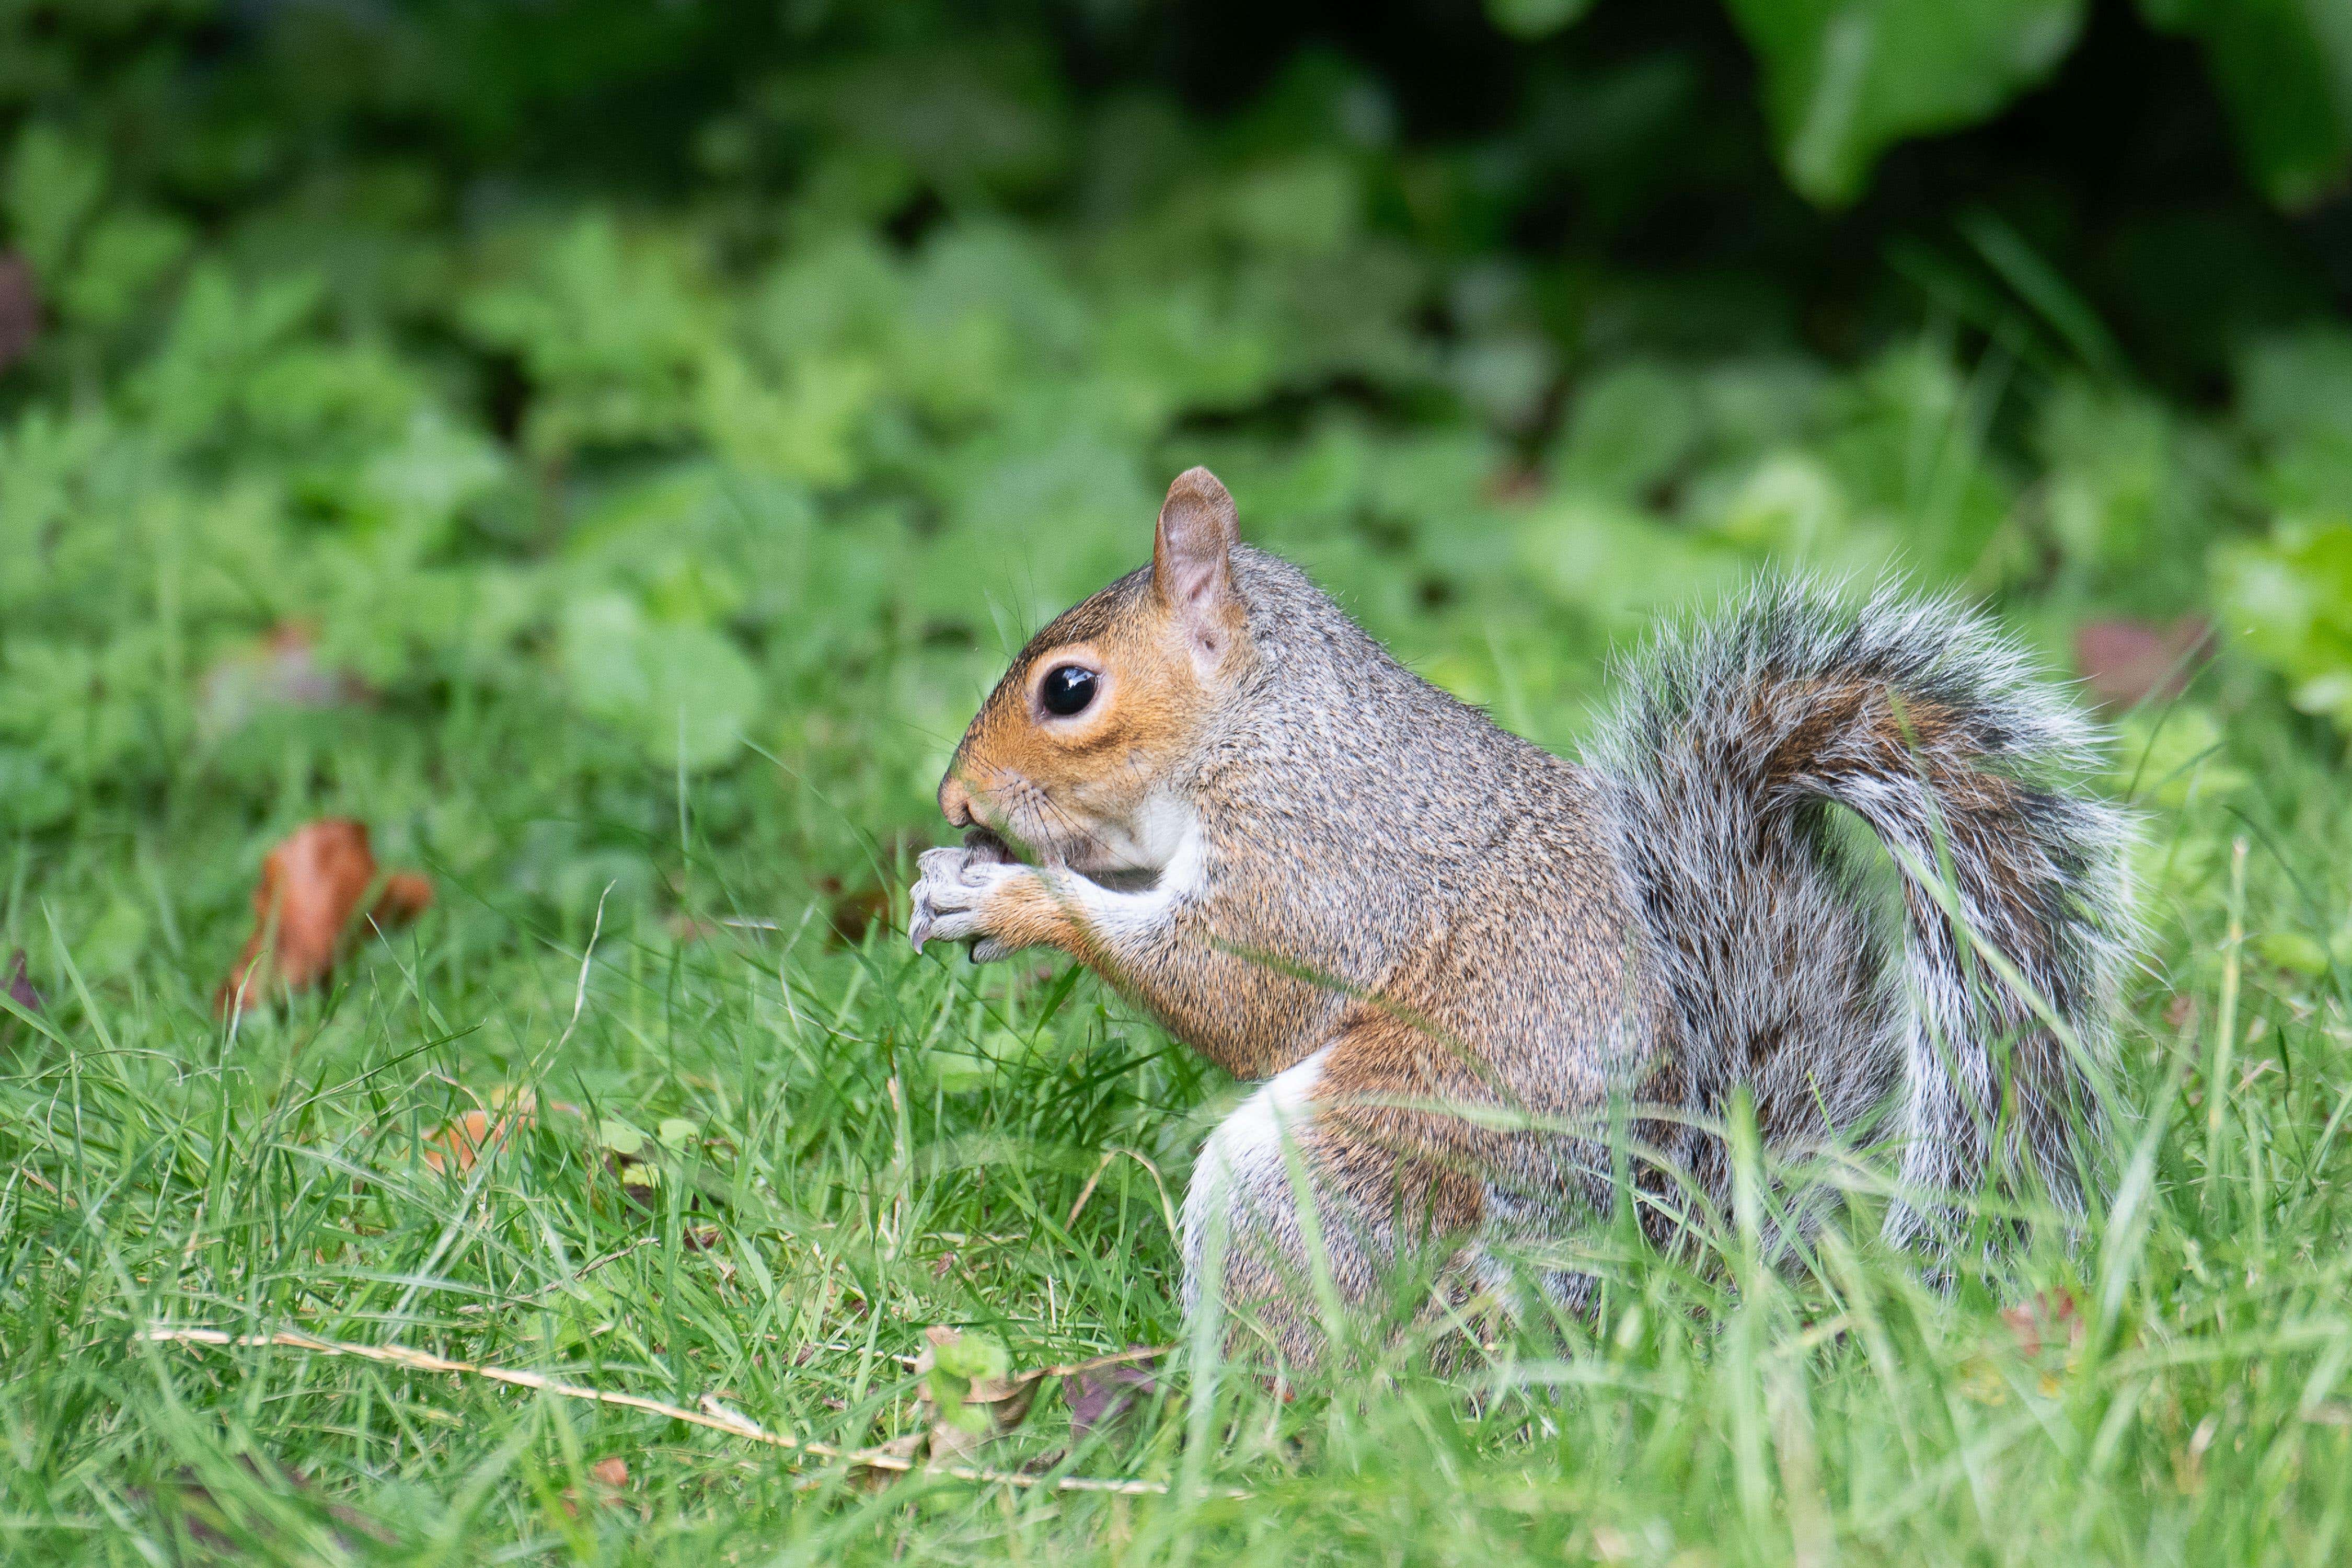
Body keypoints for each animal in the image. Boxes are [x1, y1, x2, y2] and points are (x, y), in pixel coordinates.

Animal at [908, 470, 2145, 1363]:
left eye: (1070, 690)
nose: (957, 801)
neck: (1264, 722)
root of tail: (1620, 1296)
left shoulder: (1322, 856)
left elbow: (1236, 988)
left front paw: (1009, 897)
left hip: (1348, 1177)